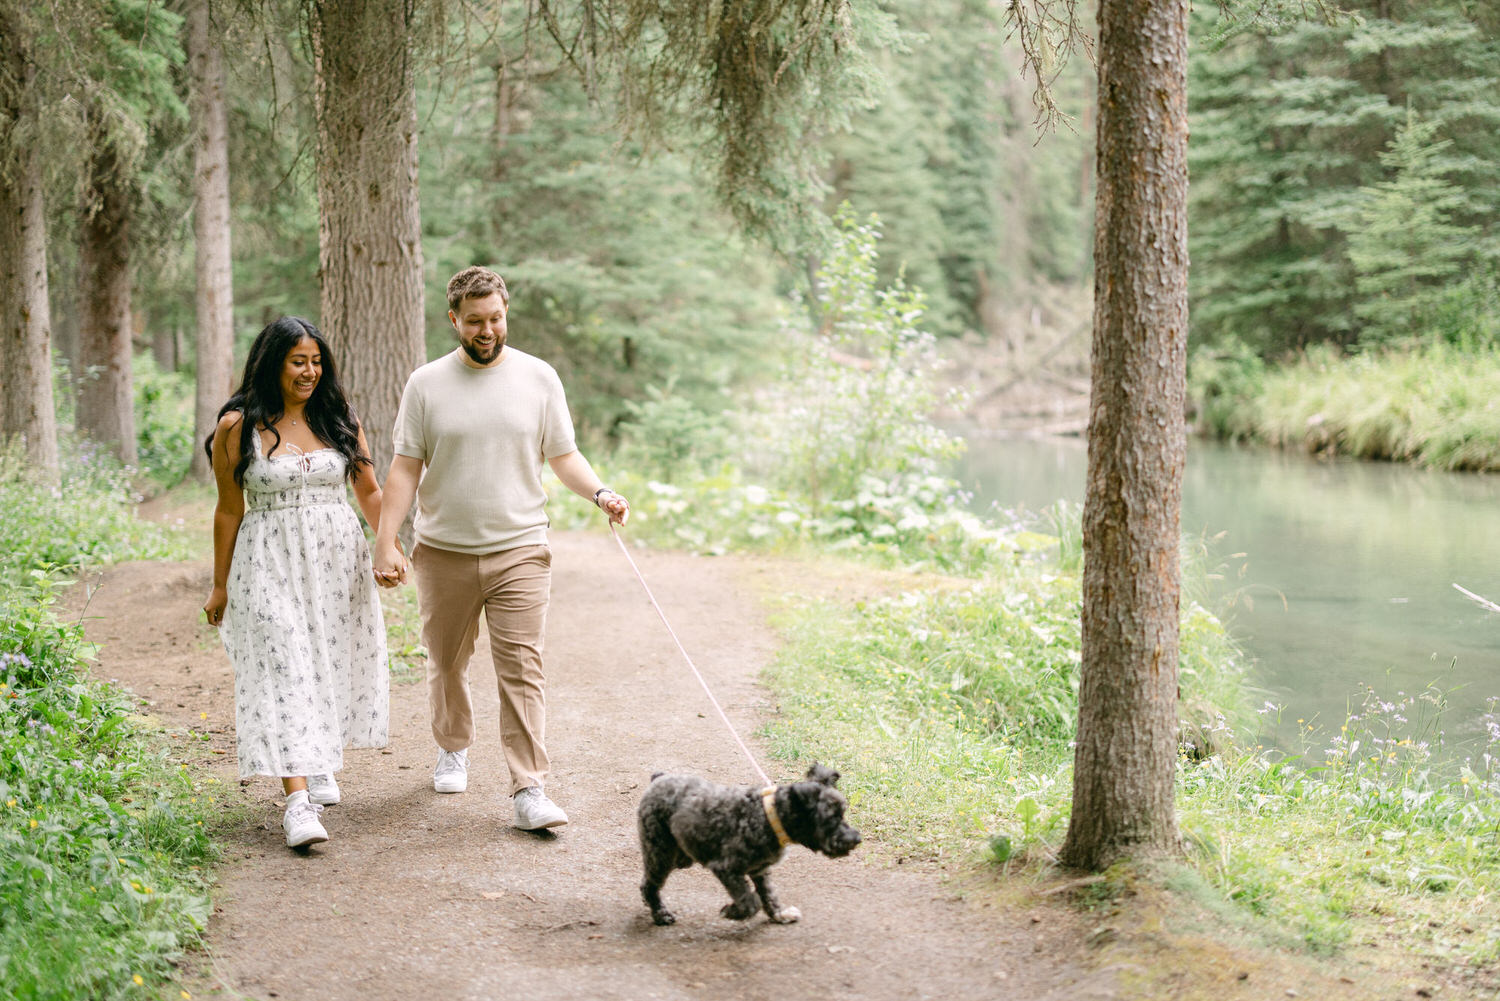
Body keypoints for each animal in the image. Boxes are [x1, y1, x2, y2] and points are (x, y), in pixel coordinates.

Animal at [639, 762, 864, 930]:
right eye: (831, 818)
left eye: (843, 814)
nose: (856, 839)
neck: (768, 817)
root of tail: (658, 778)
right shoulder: (726, 868)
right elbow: (750, 901)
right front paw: (732, 912)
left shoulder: (760, 870)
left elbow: (769, 895)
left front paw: (779, 915)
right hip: (660, 853)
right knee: (648, 885)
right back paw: (661, 914)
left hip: (679, 855)